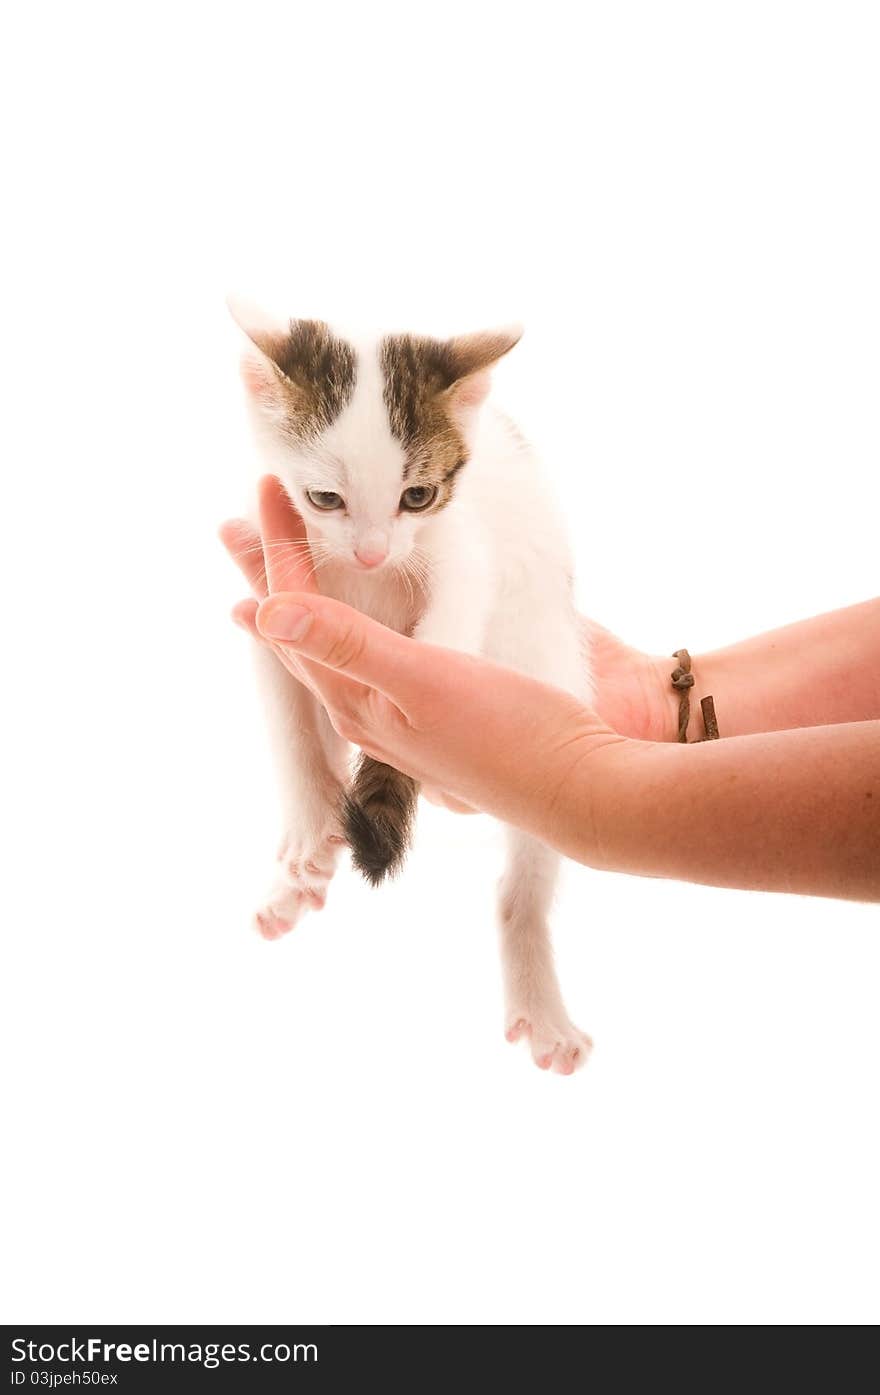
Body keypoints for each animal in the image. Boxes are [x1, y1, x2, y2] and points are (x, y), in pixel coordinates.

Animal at [230, 299, 596, 1071]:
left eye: (418, 495)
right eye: (325, 498)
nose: (372, 552)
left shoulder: (460, 549)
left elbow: (449, 619)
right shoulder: (270, 594)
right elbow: (289, 724)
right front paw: (308, 830)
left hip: (554, 671)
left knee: (524, 875)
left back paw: (540, 1001)